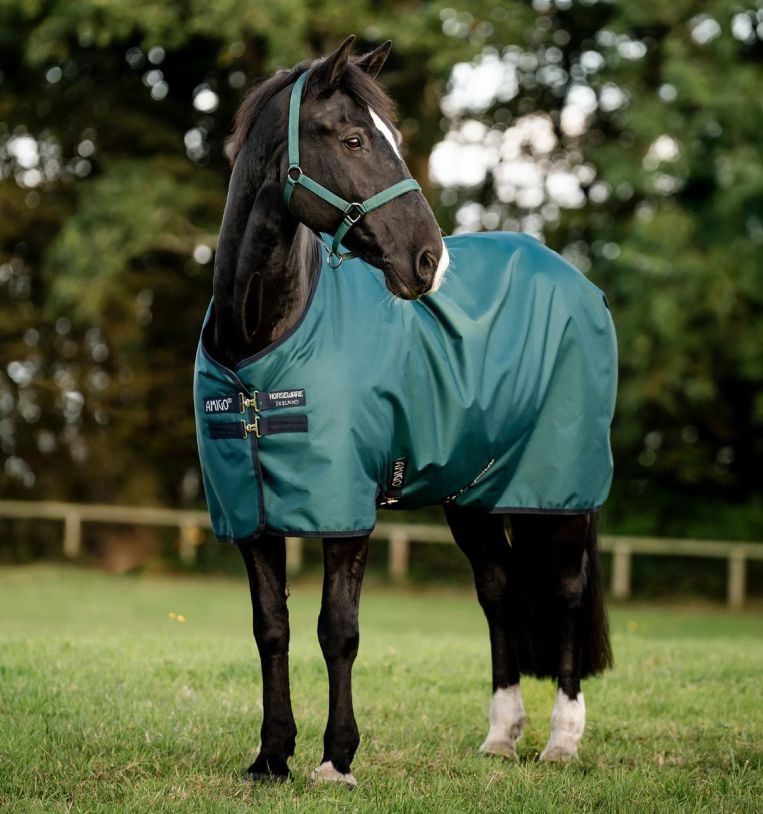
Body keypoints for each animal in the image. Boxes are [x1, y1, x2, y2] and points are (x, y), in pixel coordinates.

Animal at [196, 35, 614, 787]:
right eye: (354, 138)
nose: (428, 261)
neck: (259, 347)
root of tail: (576, 280)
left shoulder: (346, 509)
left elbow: (338, 630)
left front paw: (336, 759)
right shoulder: (250, 513)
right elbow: (271, 629)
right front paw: (271, 756)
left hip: (562, 491)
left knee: (566, 592)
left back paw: (562, 740)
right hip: (474, 495)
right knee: (498, 589)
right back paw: (501, 736)